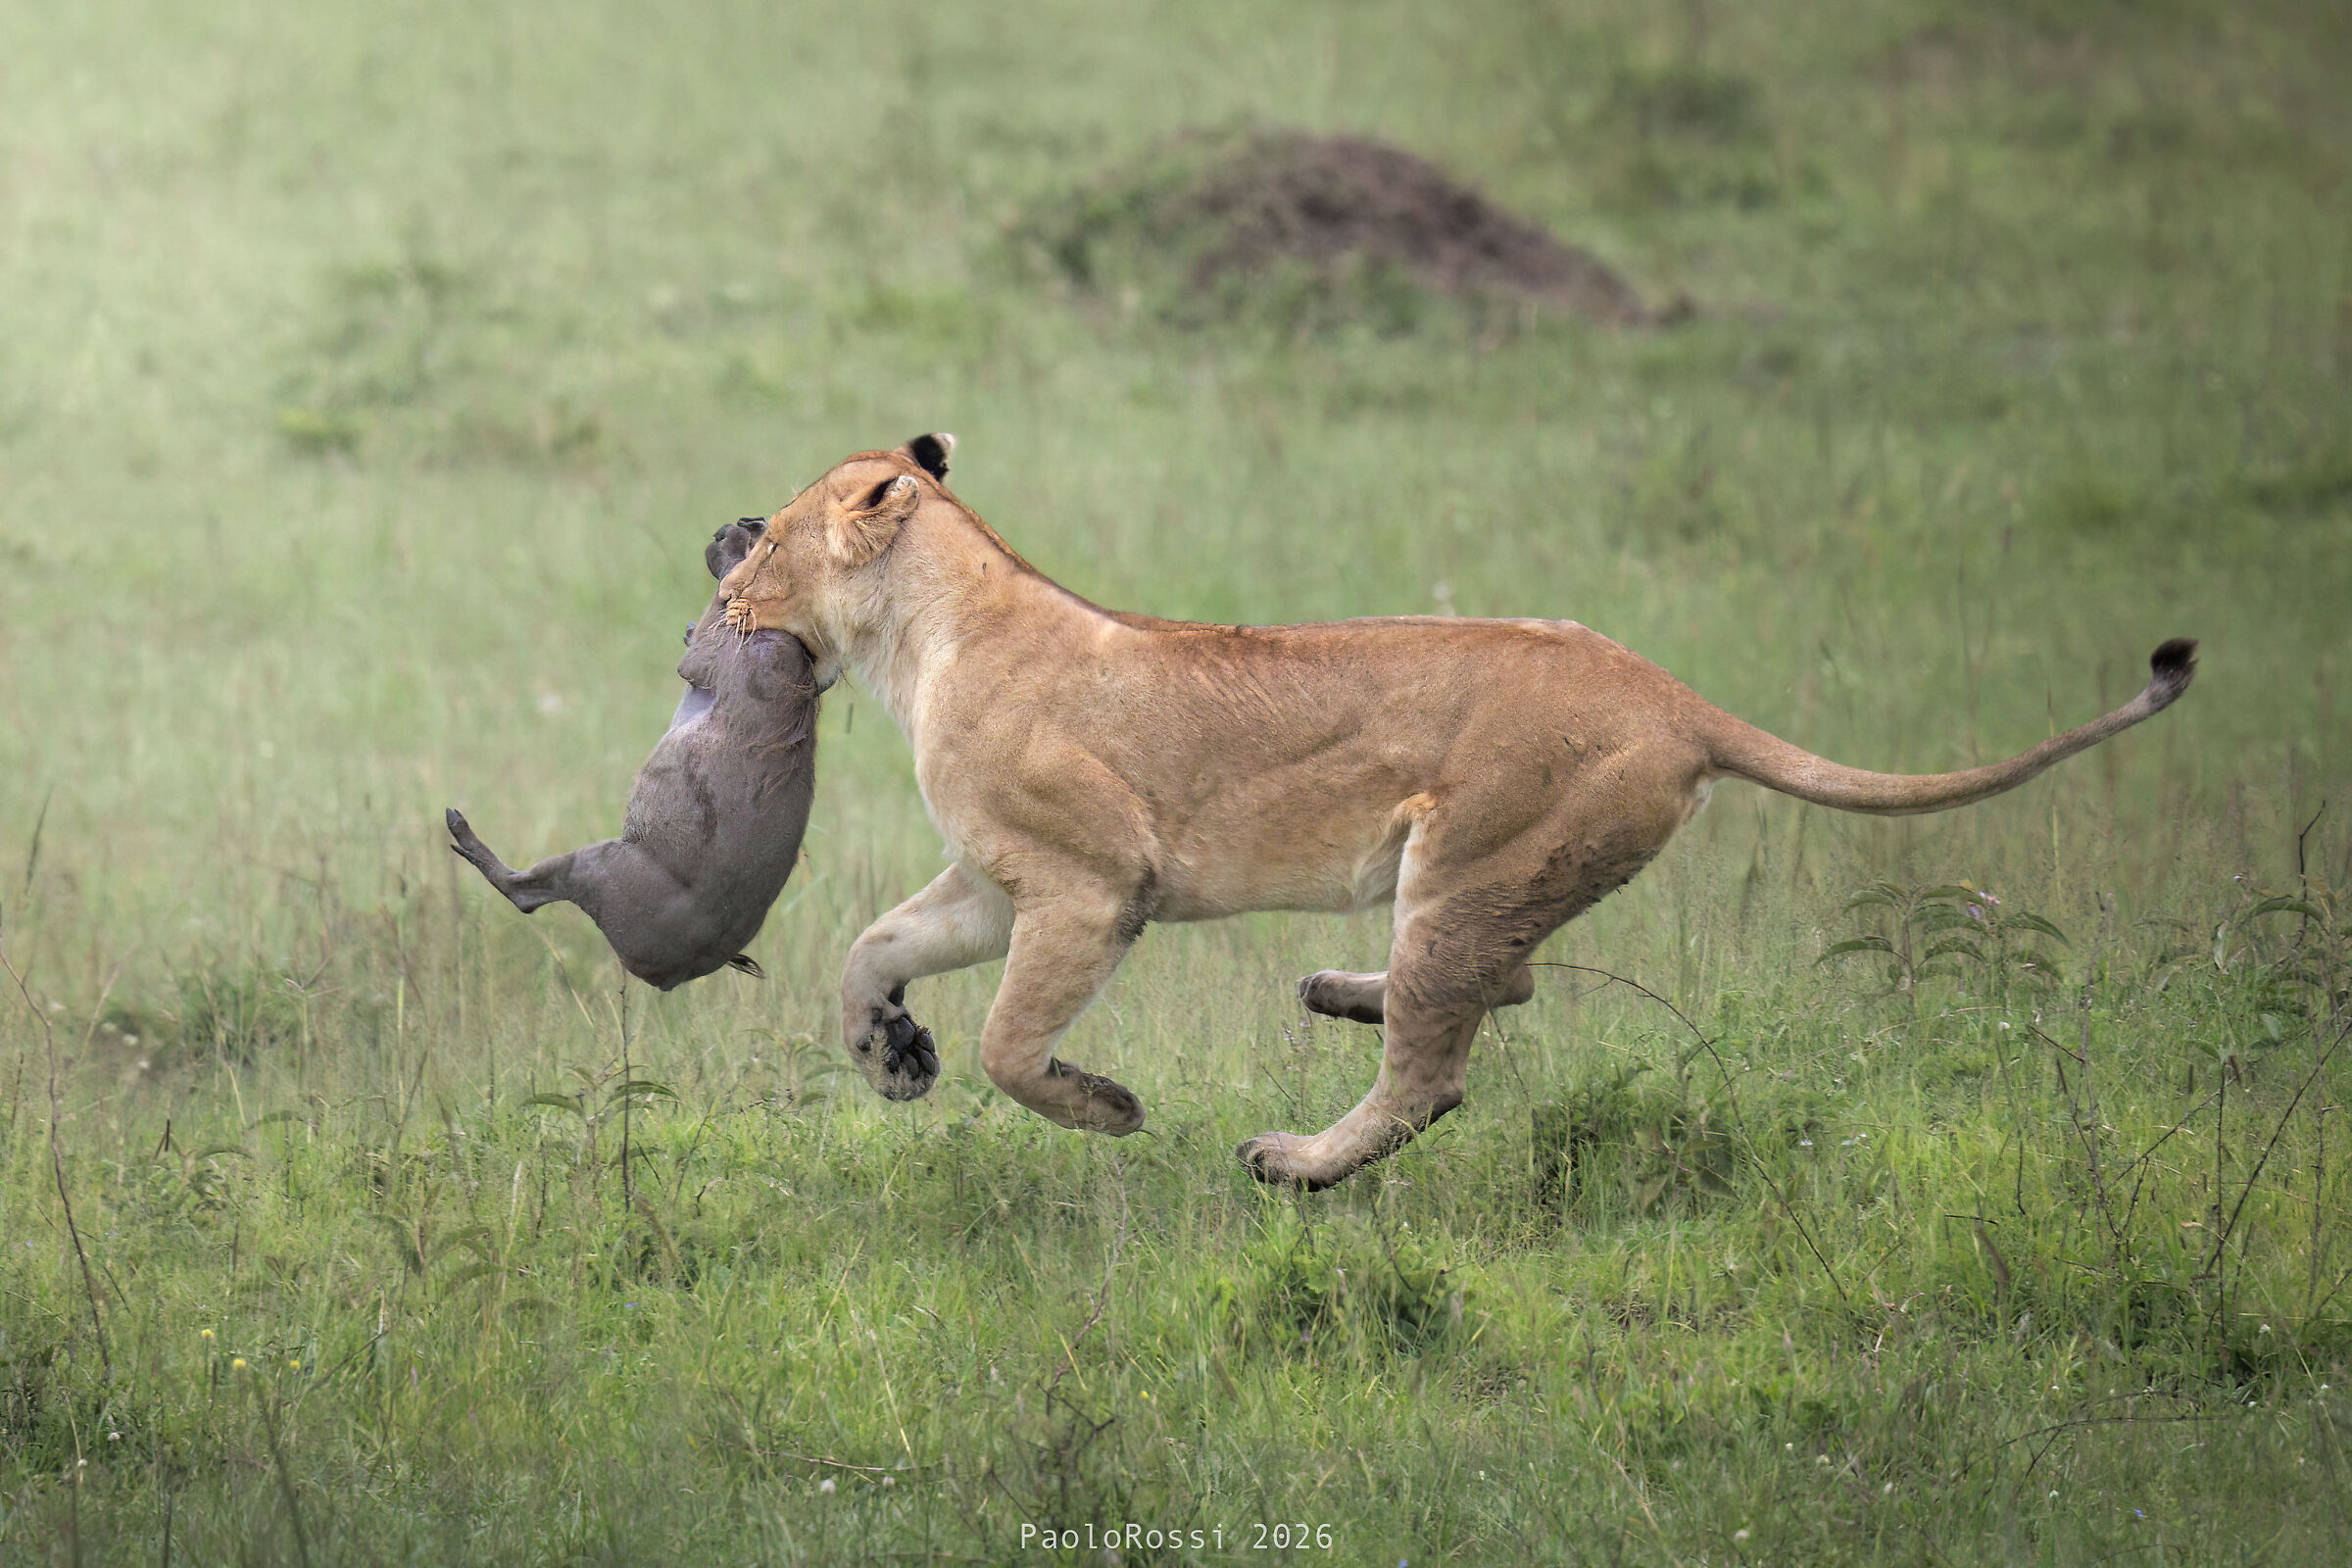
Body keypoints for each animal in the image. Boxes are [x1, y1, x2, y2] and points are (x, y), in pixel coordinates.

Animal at [719, 436, 2195, 1190]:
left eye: (773, 539)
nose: (721, 577)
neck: (922, 640)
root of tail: (1670, 692)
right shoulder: (992, 875)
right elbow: (869, 947)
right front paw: (887, 1055)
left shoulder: (1091, 887)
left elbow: (1012, 1046)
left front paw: (1108, 1108)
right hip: (1487, 883)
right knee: (1507, 988)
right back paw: (1335, 991)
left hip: (1474, 859)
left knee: (1437, 1069)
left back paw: (1300, 1158)